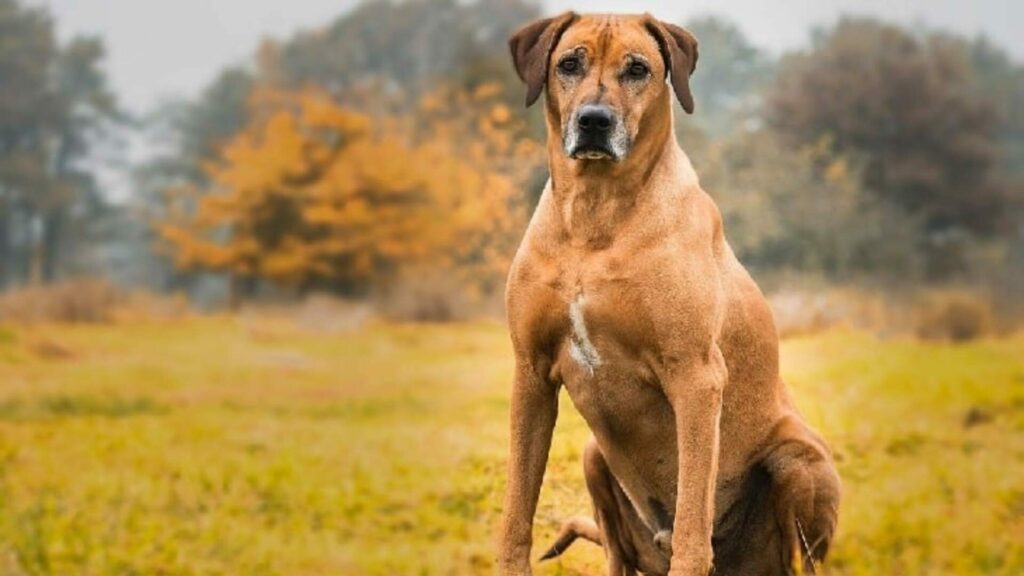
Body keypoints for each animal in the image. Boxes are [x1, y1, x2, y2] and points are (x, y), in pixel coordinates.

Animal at [495, 10, 839, 573]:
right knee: (616, 552)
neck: (595, 215)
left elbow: (693, 522)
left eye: (638, 69)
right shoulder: (531, 371)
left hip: (800, 463)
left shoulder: (696, 377)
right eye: (569, 63)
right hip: (593, 457)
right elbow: (517, 510)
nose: (594, 120)